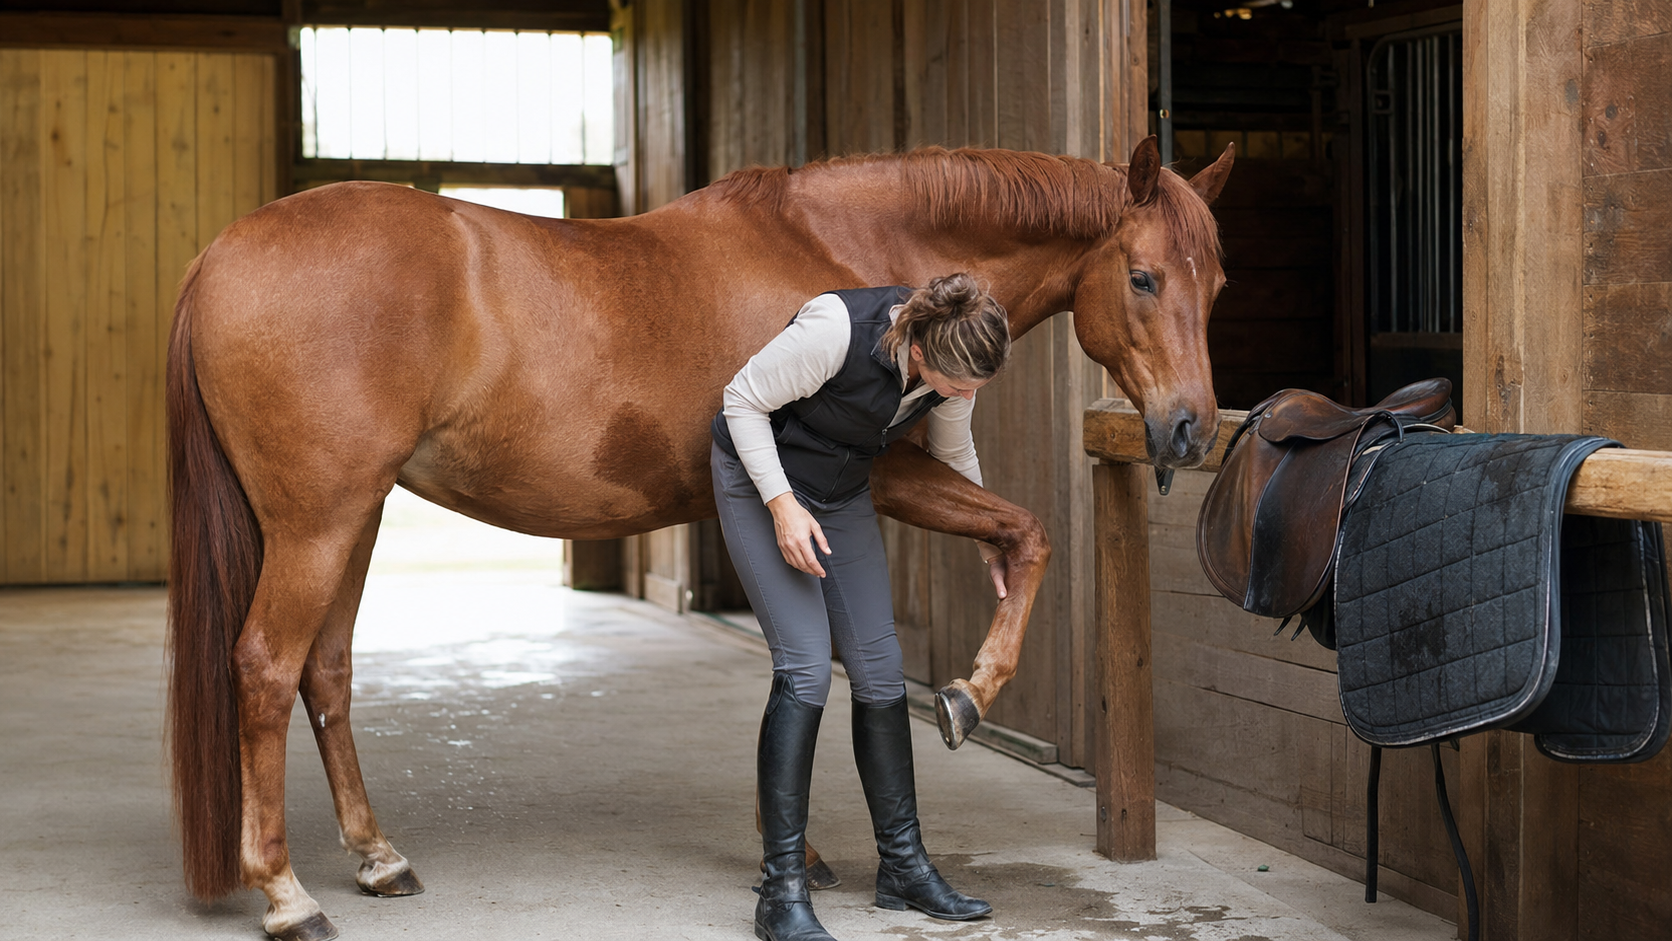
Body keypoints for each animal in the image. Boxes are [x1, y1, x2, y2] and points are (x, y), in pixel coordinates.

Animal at [165, 136, 1233, 940]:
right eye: (1143, 277)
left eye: (1216, 281)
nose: (1189, 430)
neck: (854, 251)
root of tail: (221, 253)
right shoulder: (866, 482)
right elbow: (1029, 533)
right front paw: (969, 695)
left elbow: (984, 561)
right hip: (317, 520)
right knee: (266, 668)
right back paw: (288, 895)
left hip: (356, 517)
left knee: (327, 671)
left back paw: (378, 859)